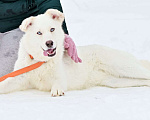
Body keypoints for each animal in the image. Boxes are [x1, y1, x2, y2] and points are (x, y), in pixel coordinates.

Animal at [0, 8, 150, 96]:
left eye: (52, 29)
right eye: (39, 33)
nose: (49, 43)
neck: (40, 62)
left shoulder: (61, 78)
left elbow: (58, 83)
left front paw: (57, 90)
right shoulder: (19, 79)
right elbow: (5, 84)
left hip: (122, 66)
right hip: (117, 81)